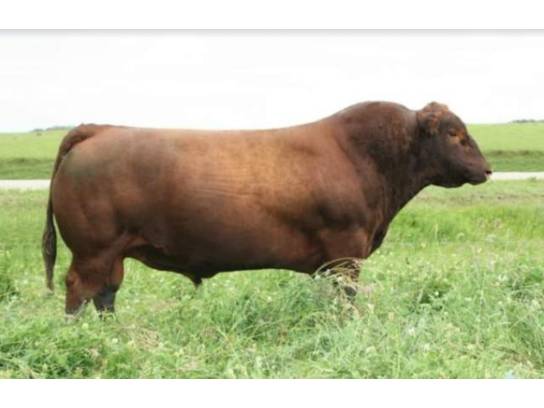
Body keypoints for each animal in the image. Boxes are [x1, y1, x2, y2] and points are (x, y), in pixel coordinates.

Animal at [42, 101, 491, 315]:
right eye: (455, 134)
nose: (487, 168)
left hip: (111, 254)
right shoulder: (346, 250)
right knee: (80, 292)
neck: (366, 156)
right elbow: (346, 299)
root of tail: (98, 130)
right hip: (94, 251)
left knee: (106, 294)